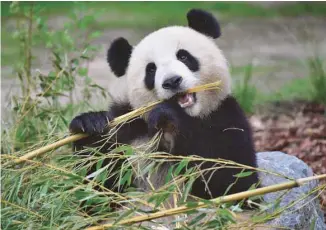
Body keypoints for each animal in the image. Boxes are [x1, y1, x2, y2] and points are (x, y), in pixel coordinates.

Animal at [70, 9, 258, 205]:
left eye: (183, 56)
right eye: (151, 69)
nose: (172, 81)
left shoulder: (227, 117)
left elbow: (234, 179)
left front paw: (168, 114)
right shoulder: (129, 127)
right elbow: (95, 184)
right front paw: (90, 123)